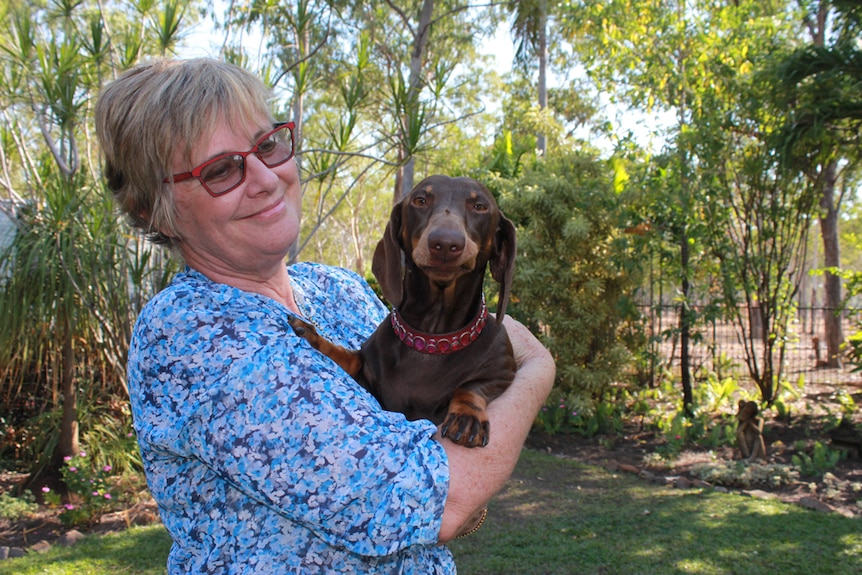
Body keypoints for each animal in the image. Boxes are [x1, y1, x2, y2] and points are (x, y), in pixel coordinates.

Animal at [290, 176, 520, 450]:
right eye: (420, 200)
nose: (445, 244)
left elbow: (472, 386)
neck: (431, 340)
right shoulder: (367, 371)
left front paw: (467, 415)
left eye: (480, 206)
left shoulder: (504, 372)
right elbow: (349, 358)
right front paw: (316, 338)